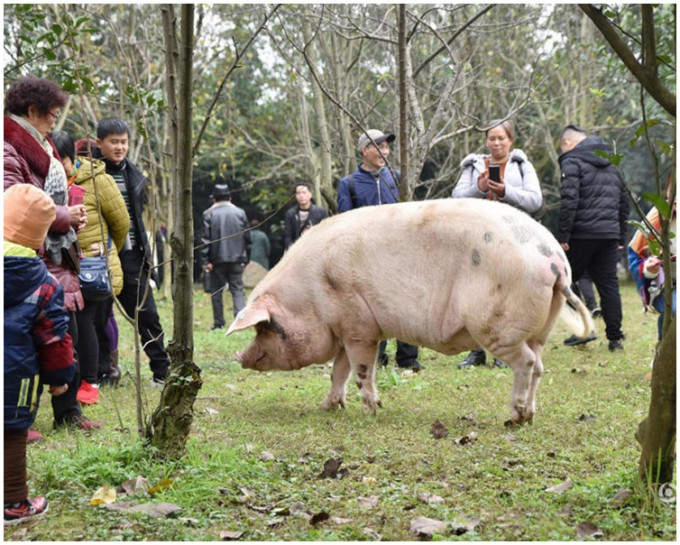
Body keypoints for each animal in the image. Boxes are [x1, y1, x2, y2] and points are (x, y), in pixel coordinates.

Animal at [226, 198, 592, 422]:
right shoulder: (348, 330)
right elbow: (338, 371)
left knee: (526, 364)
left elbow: (362, 371)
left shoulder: (358, 326)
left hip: (499, 326)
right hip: (540, 328)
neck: (311, 294)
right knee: (540, 365)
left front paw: (372, 410)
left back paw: (514, 418)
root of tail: (555, 262)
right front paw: (328, 407)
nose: (241, 357)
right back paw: (529, 416)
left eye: (264, 327)